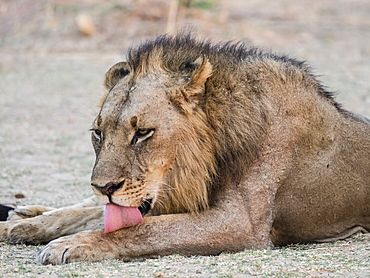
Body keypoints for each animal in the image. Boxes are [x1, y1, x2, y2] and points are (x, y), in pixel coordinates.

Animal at [0, 33, 370, 264]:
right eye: (98, 133)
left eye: (143, 133)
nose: (103, 186)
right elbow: (97, 216)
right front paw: (18, 228)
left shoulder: (240, 224)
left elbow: (143, 230)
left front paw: (71, 244)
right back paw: (21, 216)